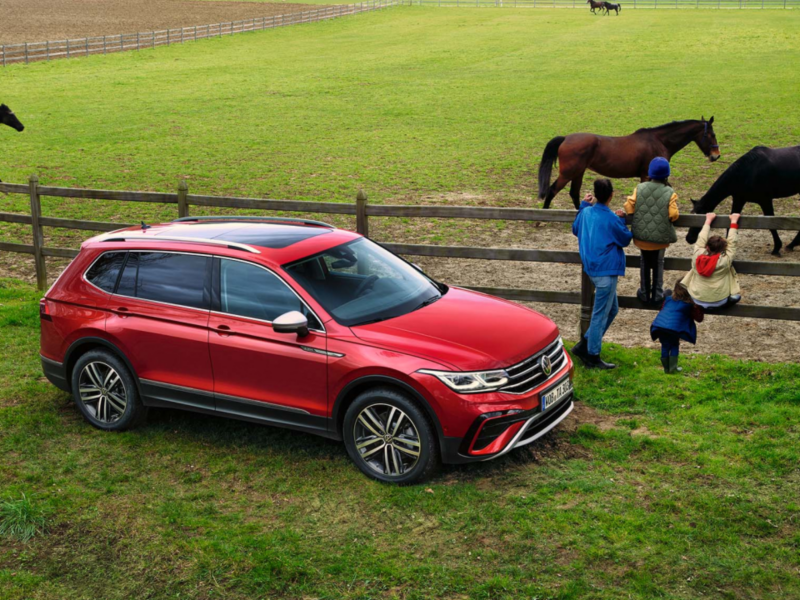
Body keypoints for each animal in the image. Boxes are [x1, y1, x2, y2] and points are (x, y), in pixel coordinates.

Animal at [536, 117, 720, 209]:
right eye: (711, 135)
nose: (716, 156)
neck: (659, 140)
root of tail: (566, 138)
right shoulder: (647, 175)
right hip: (568, 173)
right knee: (552, 191)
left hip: (578, 172)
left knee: (574, 193)